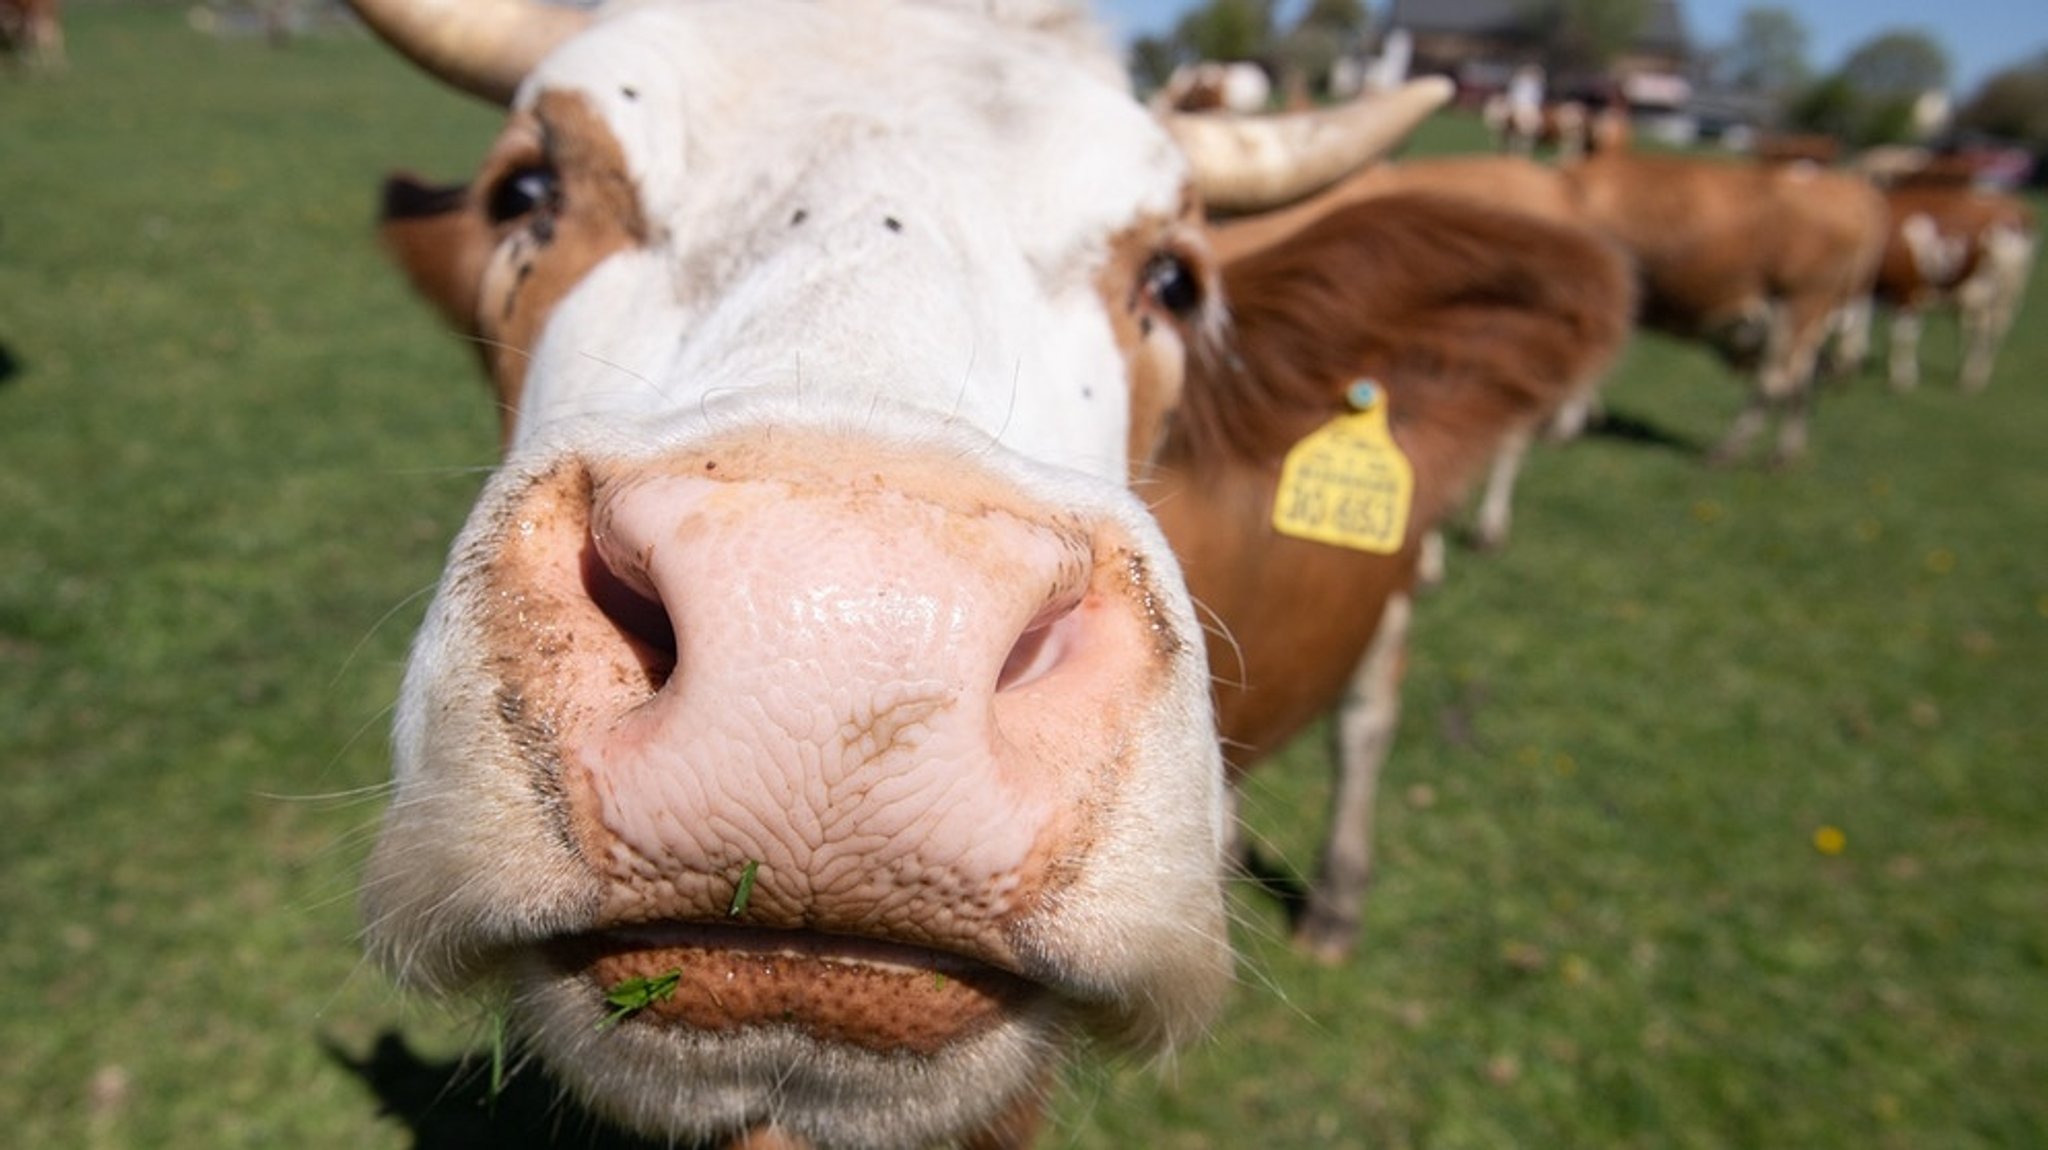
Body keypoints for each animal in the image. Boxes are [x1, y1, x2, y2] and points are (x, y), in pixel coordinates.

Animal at [1873, 184, 2036, 393]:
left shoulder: (1908, 292)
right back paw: (1967, 373)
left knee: (1986, 330)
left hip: (1997, 292)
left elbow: (1902, 336)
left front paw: (1902, 380)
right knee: (1975, 329)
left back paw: (1972, 378)